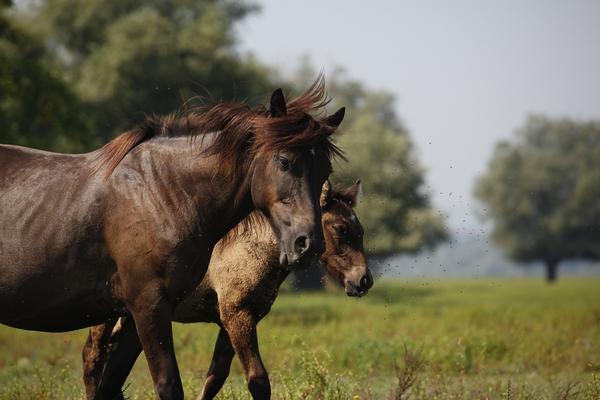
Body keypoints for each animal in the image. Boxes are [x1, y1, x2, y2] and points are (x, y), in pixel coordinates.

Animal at [0, 79, 344, 398]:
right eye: (284, 161)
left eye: (324, 169)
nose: (308, 244)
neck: (161, 193)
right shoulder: (149, 307)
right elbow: (168, 385)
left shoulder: (135, 317)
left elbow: (112, 385)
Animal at [82, 180, 372, 400]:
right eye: (340, 228)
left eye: (360, 229)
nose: (363, 280)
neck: (249, 247)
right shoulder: (238, 315)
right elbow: (257, 379)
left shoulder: (232, 319)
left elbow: (215, 378)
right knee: (93, 357)